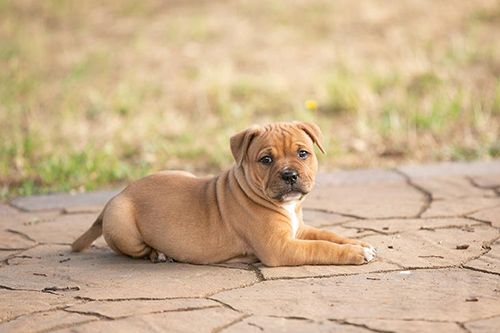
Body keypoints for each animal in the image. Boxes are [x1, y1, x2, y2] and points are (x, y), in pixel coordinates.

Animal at [71, 120, 376, 266]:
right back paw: (159, 254)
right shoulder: (281, 247)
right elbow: (321, 247)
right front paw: (354, 253)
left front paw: (358, 243)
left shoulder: (298, 230)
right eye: (266, 160)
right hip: (122, 223)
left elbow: (328, 235)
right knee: (135, 251)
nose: (290, 175)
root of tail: (118, 194)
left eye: (303, 154)